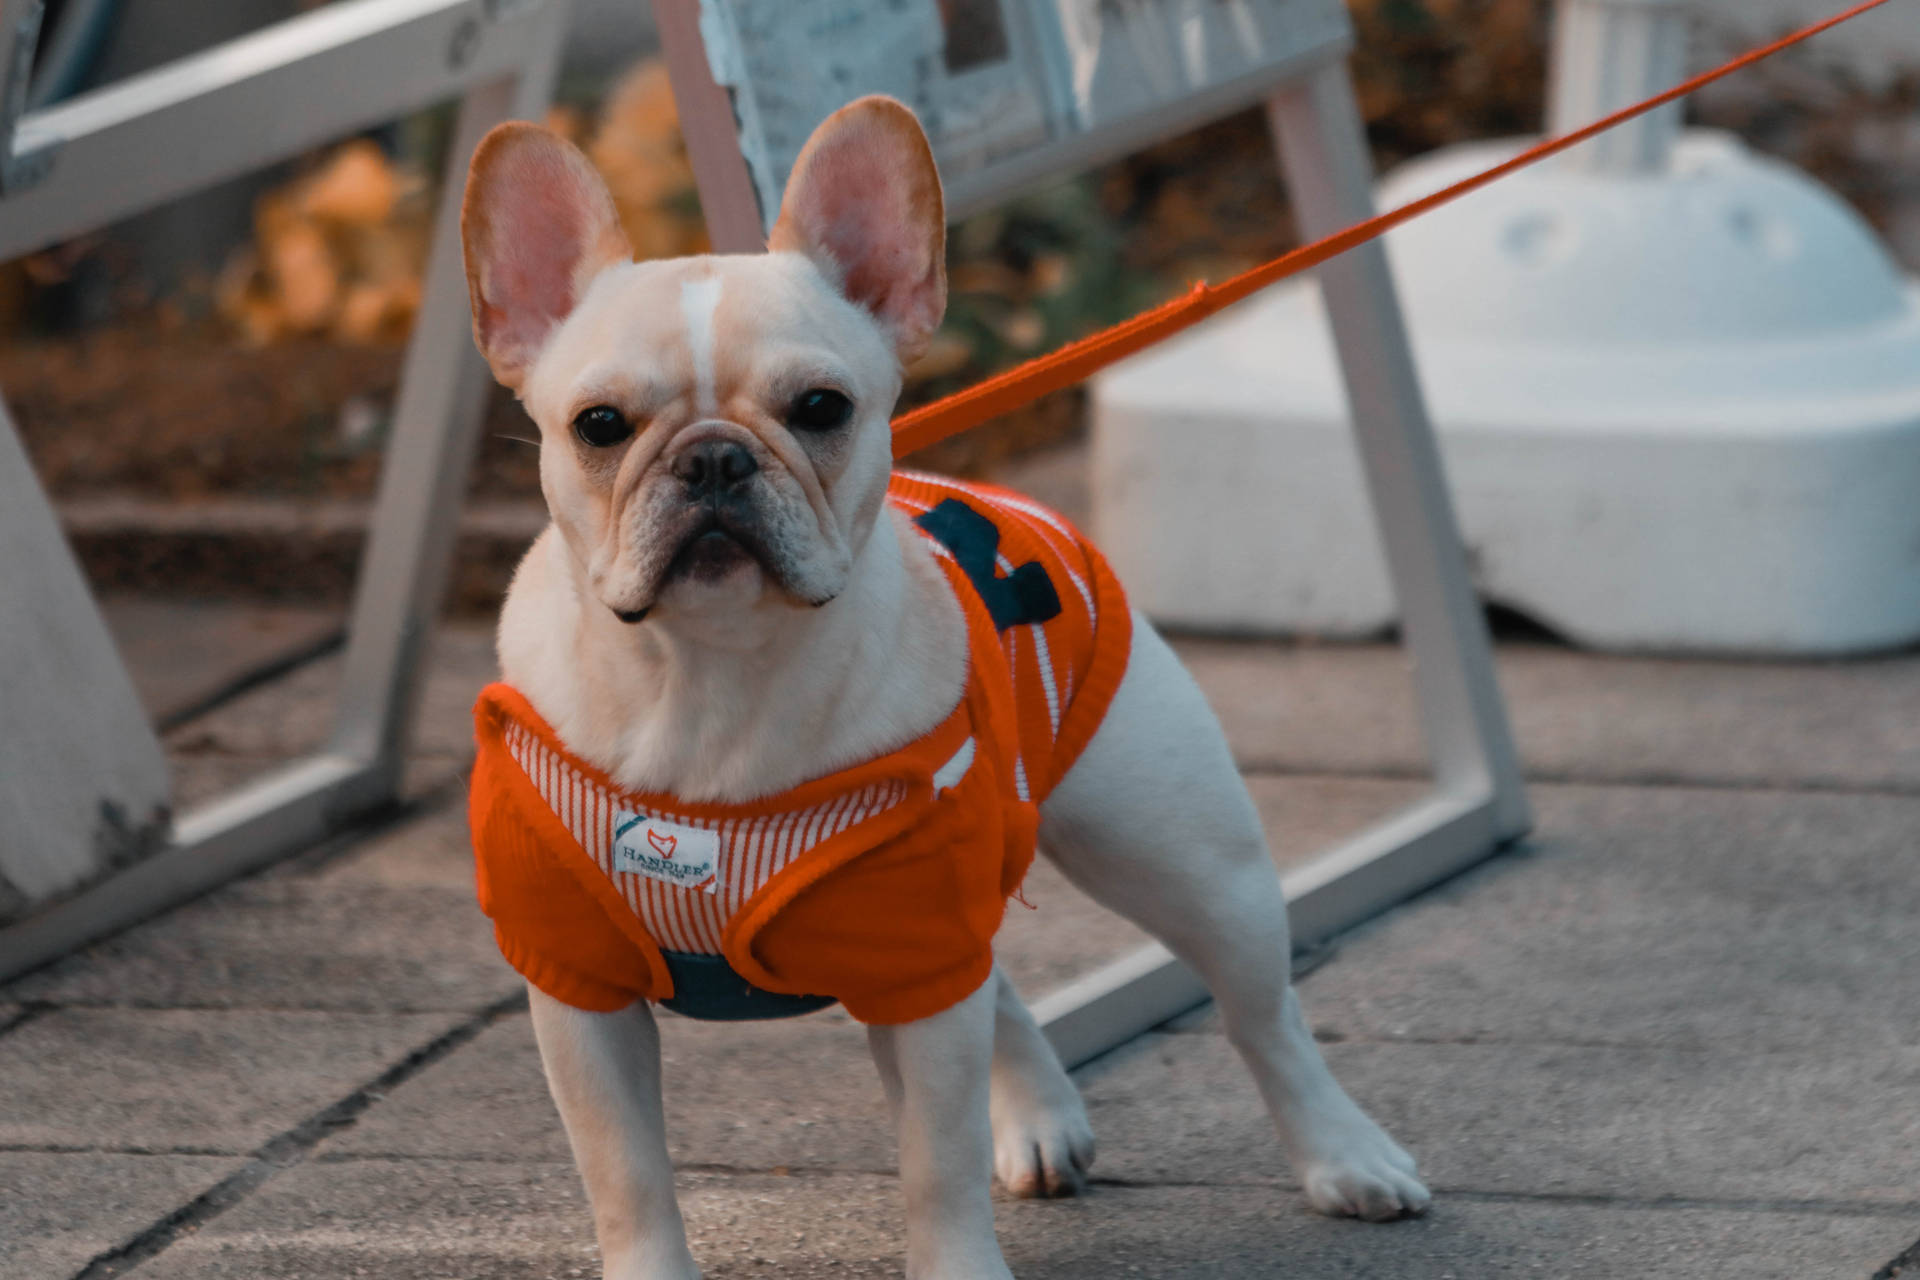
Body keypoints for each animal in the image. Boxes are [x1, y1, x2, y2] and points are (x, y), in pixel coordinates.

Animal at [460, 92, 1428, 1280]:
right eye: (600, 424)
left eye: (820, 407)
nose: (715, 458)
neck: (713, 674)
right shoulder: (581, 985)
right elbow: (626, 1174)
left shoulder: (921, 953)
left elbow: (937, 1158)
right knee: (1003, 982)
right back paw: (1042, 1117)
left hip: (1189, 863)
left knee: (1265, 1019)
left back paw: (1346, 1156)